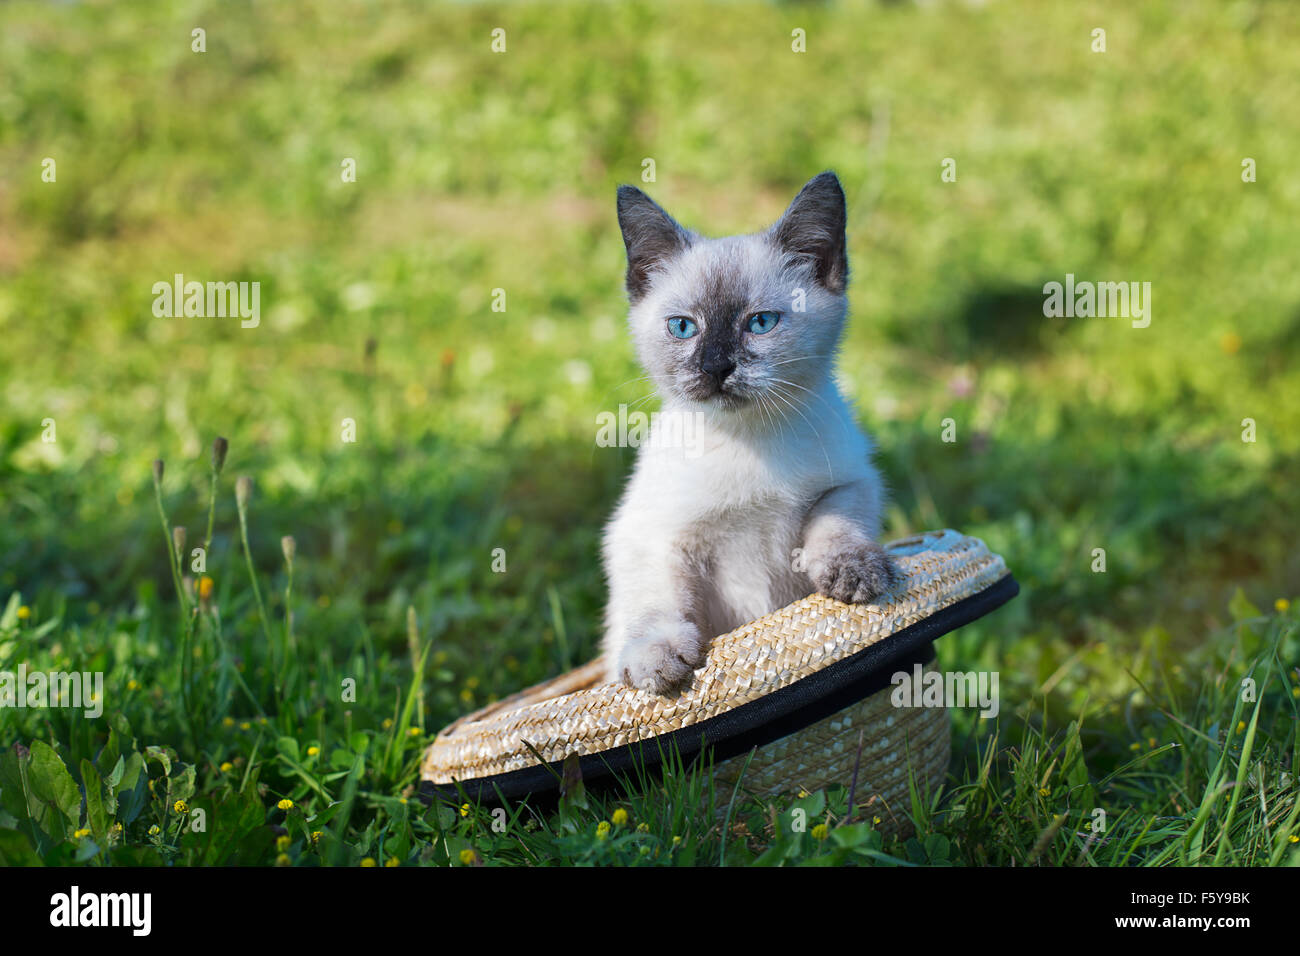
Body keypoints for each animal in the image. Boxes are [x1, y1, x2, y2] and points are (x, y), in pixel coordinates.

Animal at [603, 174, 899, 697]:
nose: (715, 366)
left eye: (760, 323)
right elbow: (660, 602)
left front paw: (852, 575)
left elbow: (835, 523)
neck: (747, 441)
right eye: (683, 327)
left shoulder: (851, 481)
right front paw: (657, 665)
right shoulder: (650, 534)